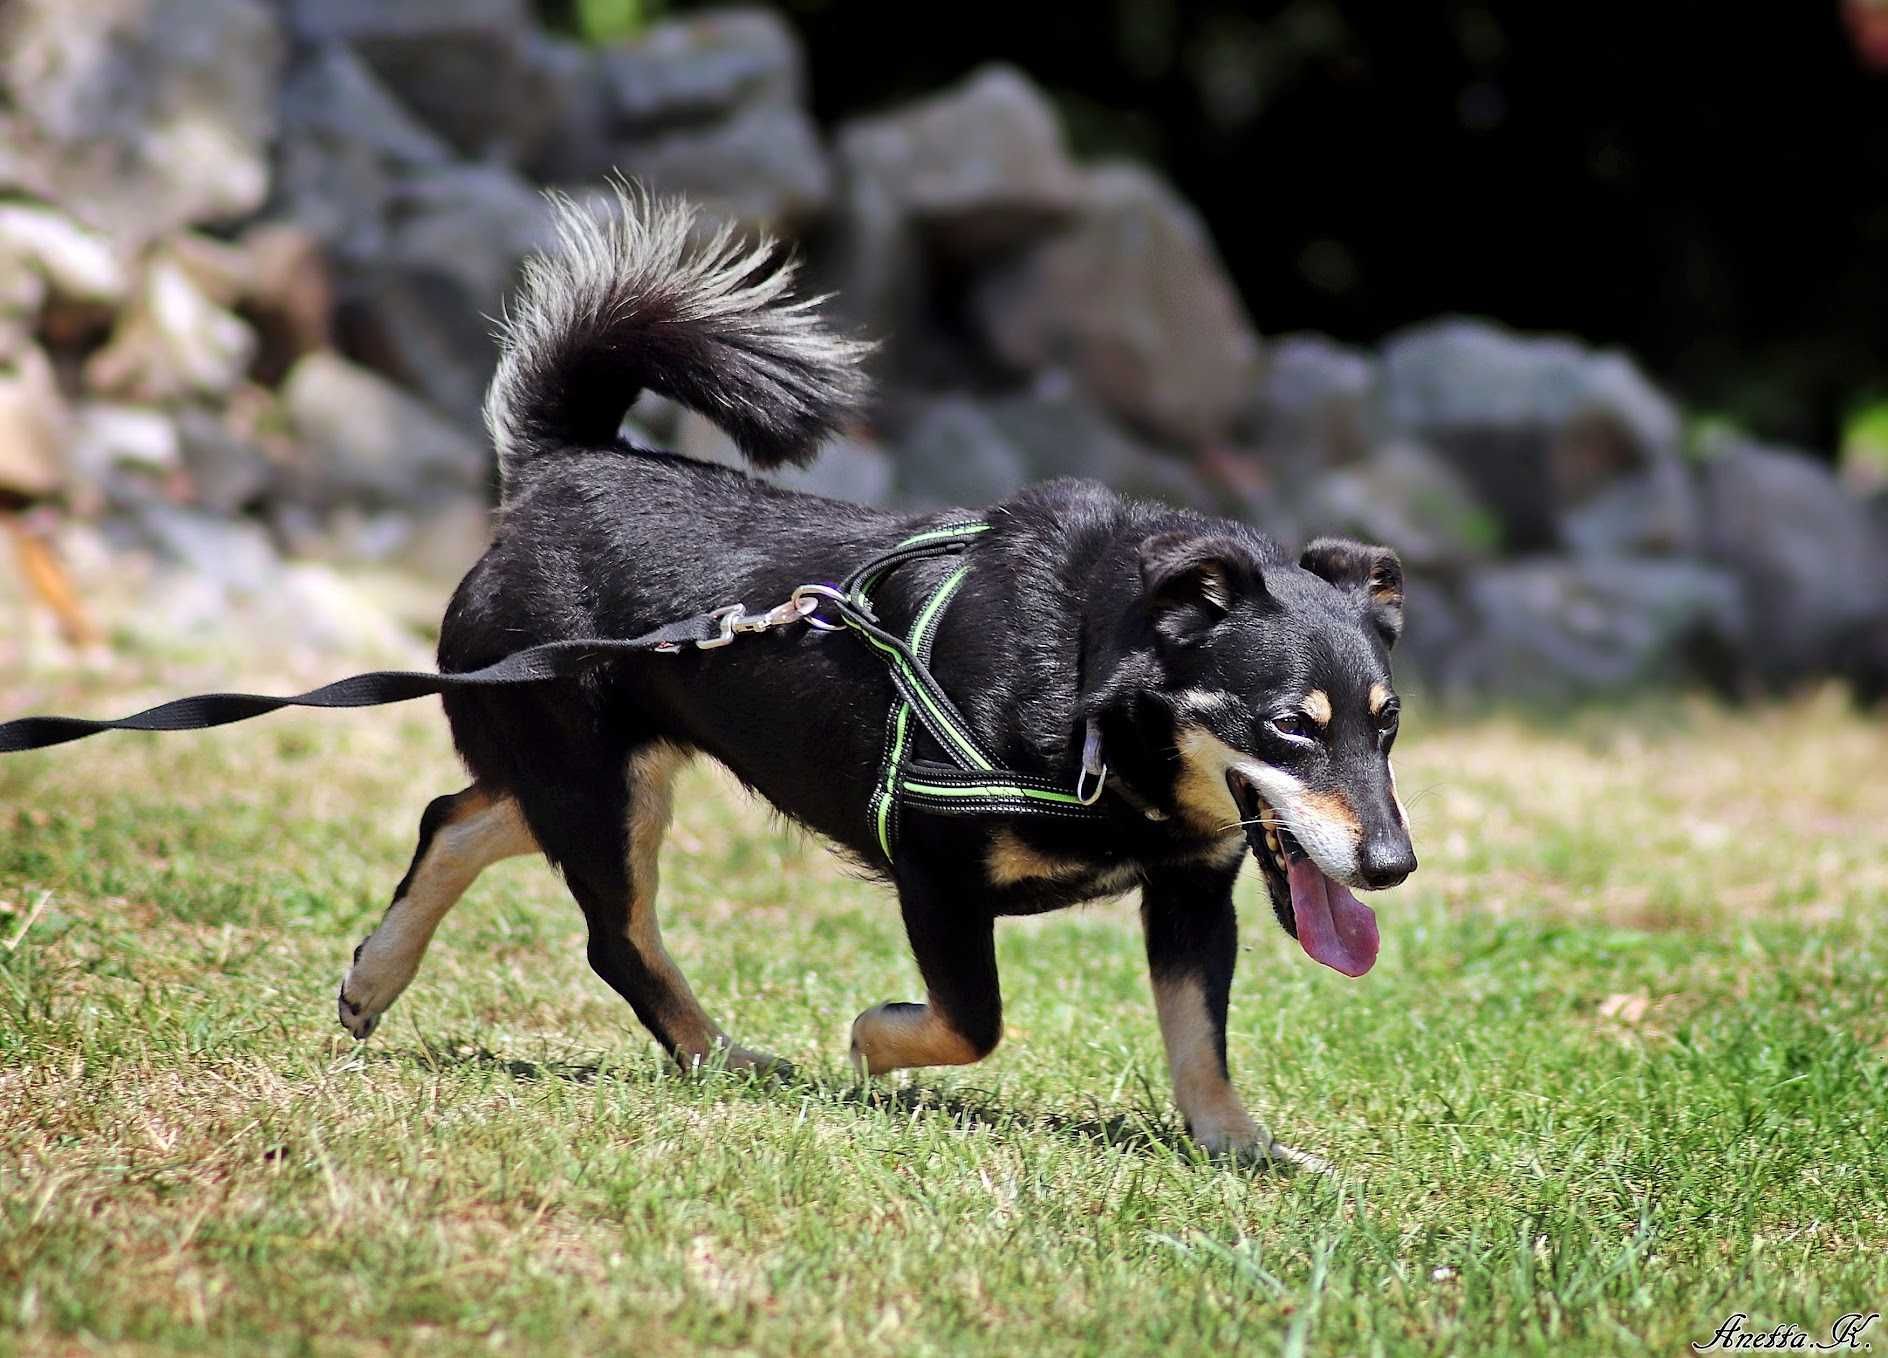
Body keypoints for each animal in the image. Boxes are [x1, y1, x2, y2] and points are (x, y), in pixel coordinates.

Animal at [336, 188, 1419, 1171]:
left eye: (1388, 723)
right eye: (1289, 725)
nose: (1393, 863)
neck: (1089, 685)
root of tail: (557, 470)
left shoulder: (1193, 888)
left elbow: (1200, 1038)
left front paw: (1243, 1146)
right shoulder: (934, 869)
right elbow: (972, 1019)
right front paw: (871, 1040)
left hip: (593, 771)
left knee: (456, 816)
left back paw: (373, 979)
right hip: (599, 783)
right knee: (614, 934)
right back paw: (720, 1056)